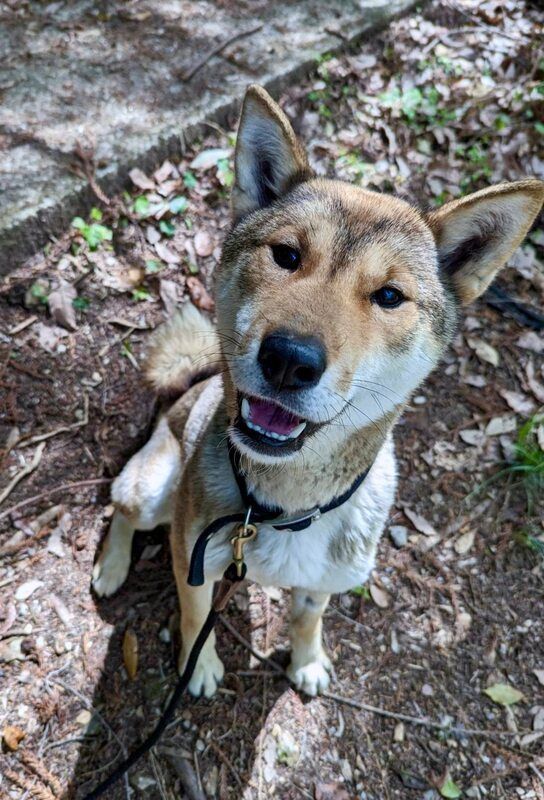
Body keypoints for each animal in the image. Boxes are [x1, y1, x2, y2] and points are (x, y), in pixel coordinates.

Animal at [92, 83, 544, 692]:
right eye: (286, 255)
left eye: (389, 296)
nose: (289, 360)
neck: (282, 509)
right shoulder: (193, 556)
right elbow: (194, 615)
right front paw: (200, 667)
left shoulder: (322, 580)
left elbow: (309, 619)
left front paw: (306, 662)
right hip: (153, 492)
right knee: (119, 510)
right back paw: (111, 566)